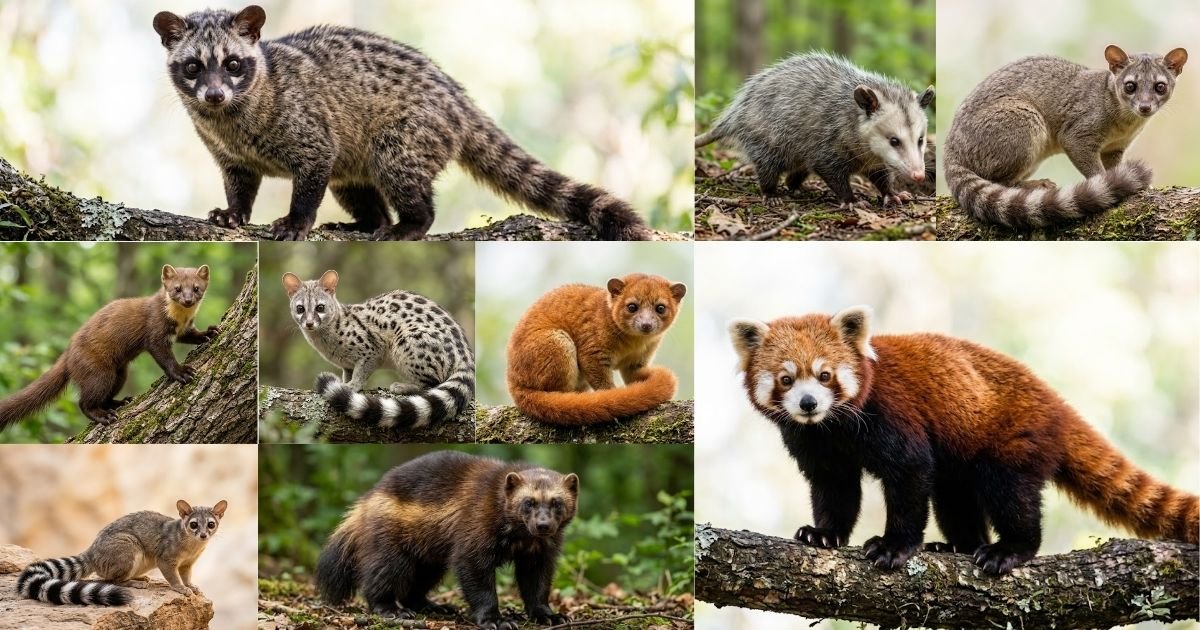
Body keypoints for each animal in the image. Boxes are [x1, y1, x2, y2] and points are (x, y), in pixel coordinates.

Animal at [152, 5, 648, 241]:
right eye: (193, 67)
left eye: (233, 64)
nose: (214, 94)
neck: (229, 116)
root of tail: (458, 99)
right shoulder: (226, 150)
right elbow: (239, 180)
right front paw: (235, 211)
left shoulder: (308, 128)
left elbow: (311, 171)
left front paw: (297, 219)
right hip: (358, 163)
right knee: (356, 189)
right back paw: (366, 221)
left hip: (406, 136)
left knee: (402, 180)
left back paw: (409, 222)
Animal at [696, 52, 934, 209]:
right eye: (894, 141)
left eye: (920, 140)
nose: (919, 175)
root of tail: (736, 114)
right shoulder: (827, 140)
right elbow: (828, 169)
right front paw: (850, 200)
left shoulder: (873, 160)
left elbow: (880, 175)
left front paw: (892, 194)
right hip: (764, 137)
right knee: (767, 167)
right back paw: (772, 194)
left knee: (797, 173)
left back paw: (796, 187)